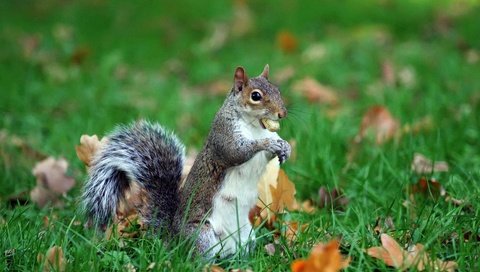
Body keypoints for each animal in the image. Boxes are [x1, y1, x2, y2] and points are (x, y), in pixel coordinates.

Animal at [82, 65, 290, 258]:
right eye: (256, 96)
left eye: (277, 89)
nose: (282, 114)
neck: (256, 126)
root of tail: (174, 239)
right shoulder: (223, 135)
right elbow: (236, 152)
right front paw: (267, 143)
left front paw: (285, 147)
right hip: (202, 235)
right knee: (197, 259)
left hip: (247, 235)